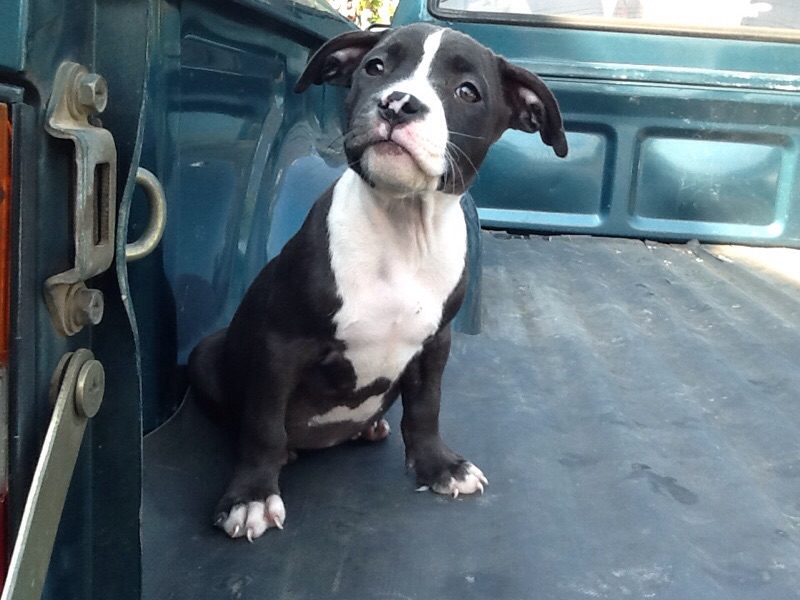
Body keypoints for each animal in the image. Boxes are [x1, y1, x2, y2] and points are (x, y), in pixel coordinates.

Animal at [188, 22, 568, 542]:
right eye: (376, 67)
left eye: (467, 92)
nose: (398, 103)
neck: (401, 229)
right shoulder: (279, 344)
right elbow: (263, 424)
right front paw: (251, 497)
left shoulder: (435, 343)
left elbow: (426, 407)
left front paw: (439, 466)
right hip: (208, 354)